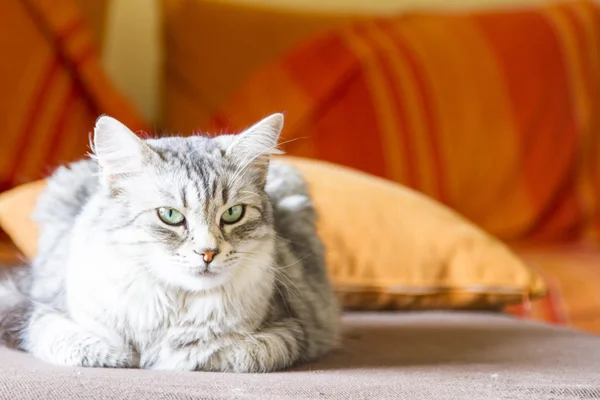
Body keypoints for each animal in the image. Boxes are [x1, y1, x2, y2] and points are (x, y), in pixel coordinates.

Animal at [0, 111, 340, 372]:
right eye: (170, 215)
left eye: (233, 213)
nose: (208, 252)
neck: (172, 307)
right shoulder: (45, 313)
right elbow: (71, 341)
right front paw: (119, 355)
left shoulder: (289, 330)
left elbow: (222, 352)